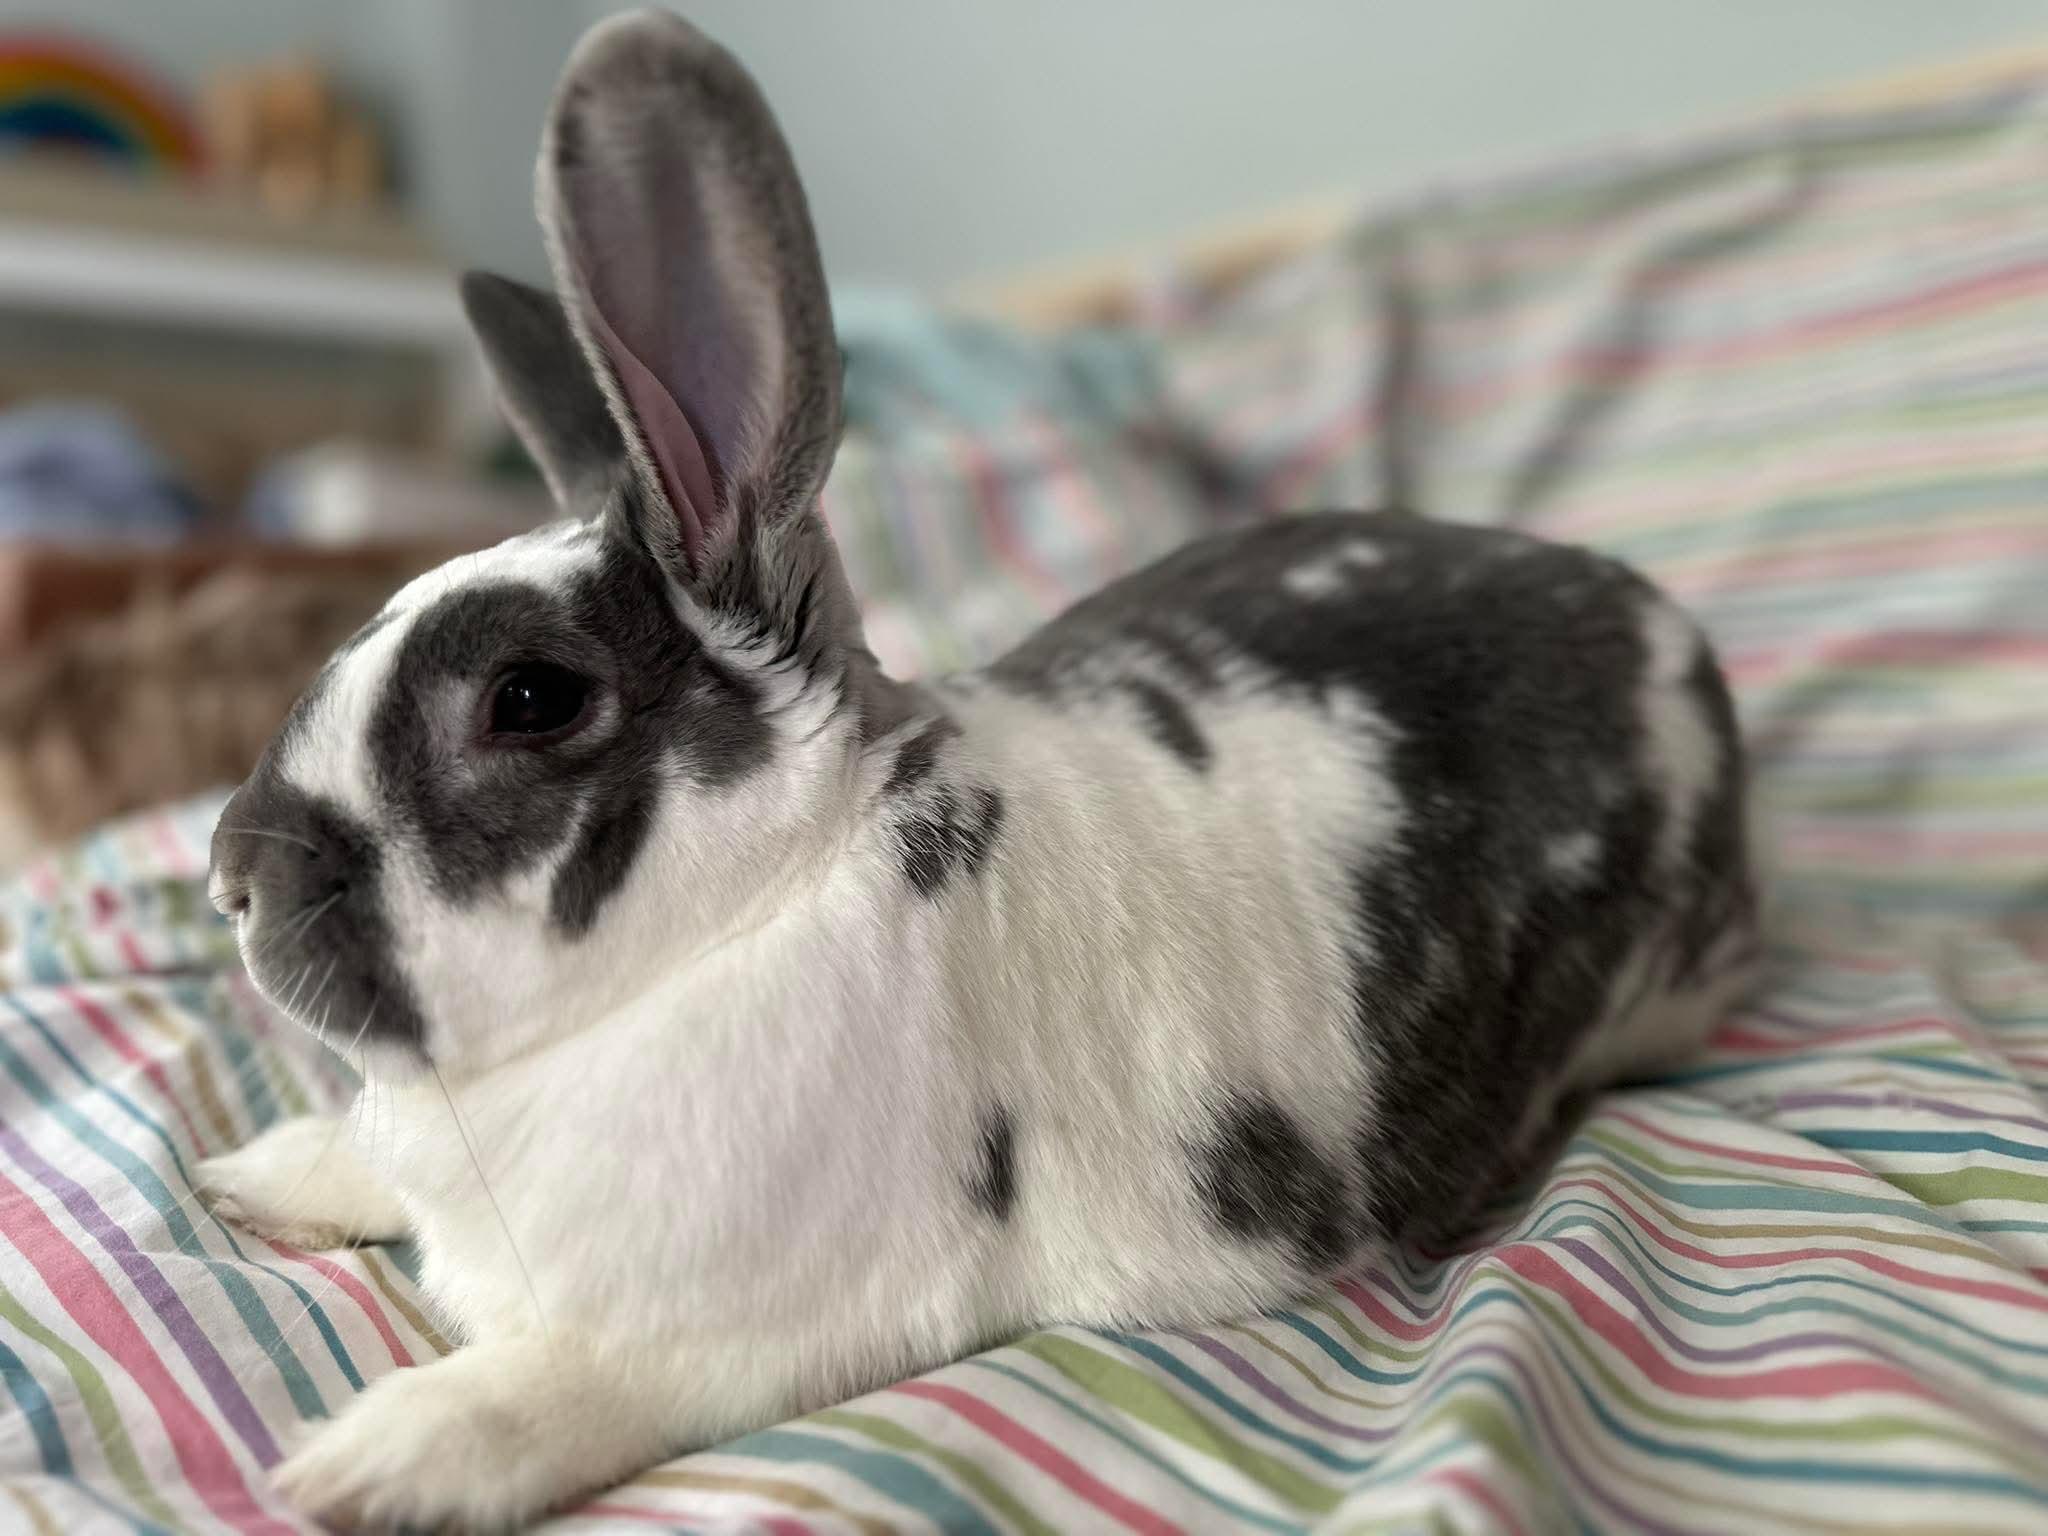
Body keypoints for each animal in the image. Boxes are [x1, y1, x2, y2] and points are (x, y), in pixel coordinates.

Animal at [196, 9, 1758, 1530]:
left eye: (529, 699)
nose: (230, 875)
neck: (753, 910)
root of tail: (1657, 619)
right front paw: (248, 1177)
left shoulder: (728, 1341)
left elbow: (569, 1390)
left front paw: (368, 1461)